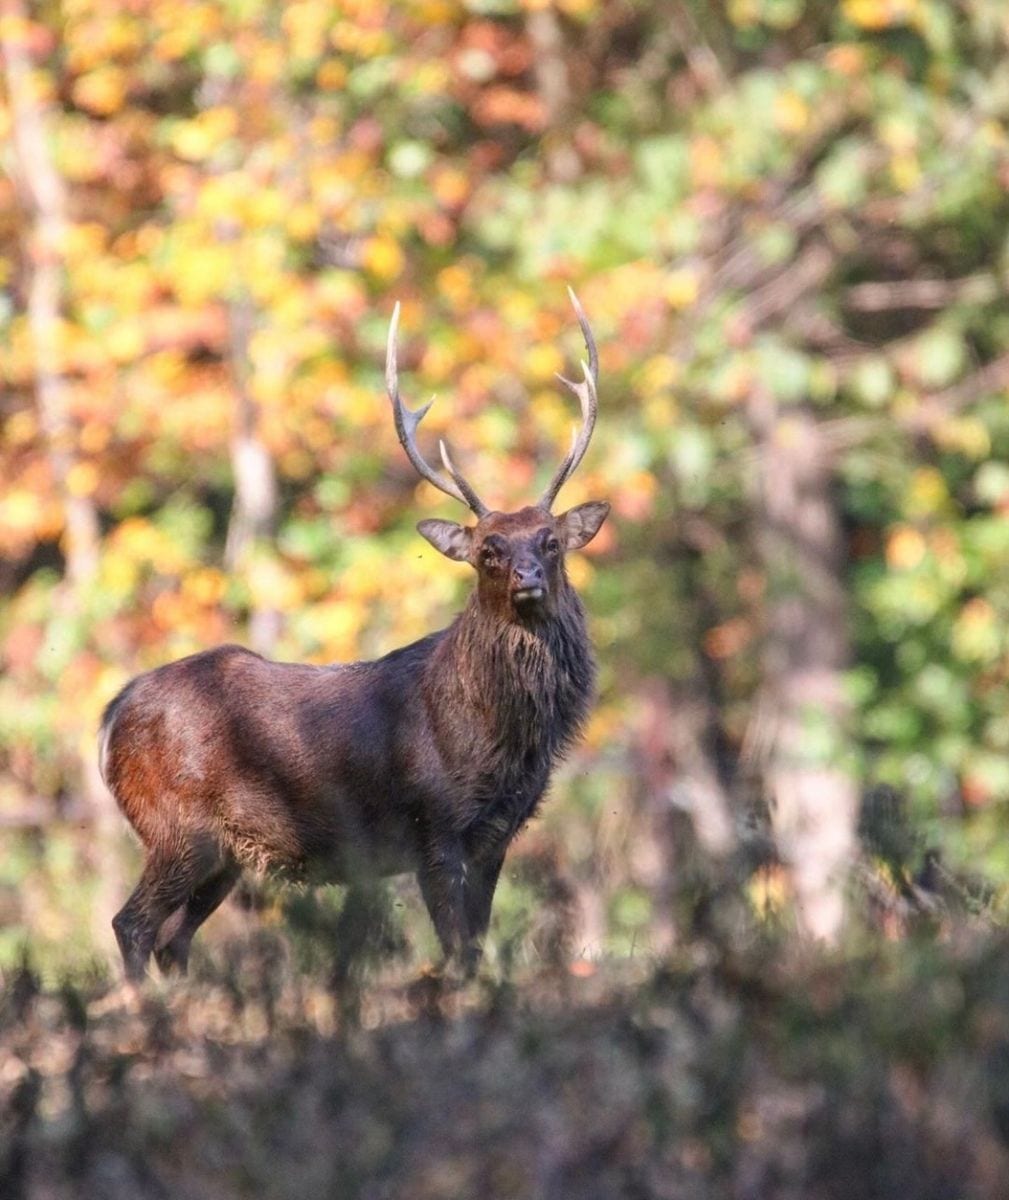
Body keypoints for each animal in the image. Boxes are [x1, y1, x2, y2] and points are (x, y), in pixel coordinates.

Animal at [99, 291, 610, 982]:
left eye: (551, 541)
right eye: (487, 551)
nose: (527, 577)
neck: (500, 740)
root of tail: (110, 717)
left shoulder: (496, 836)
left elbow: (476, 951)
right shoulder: (432, 828)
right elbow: (457, 955)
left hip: (220, 856)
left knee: (173, 940)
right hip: (175, 827)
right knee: (132, 924)